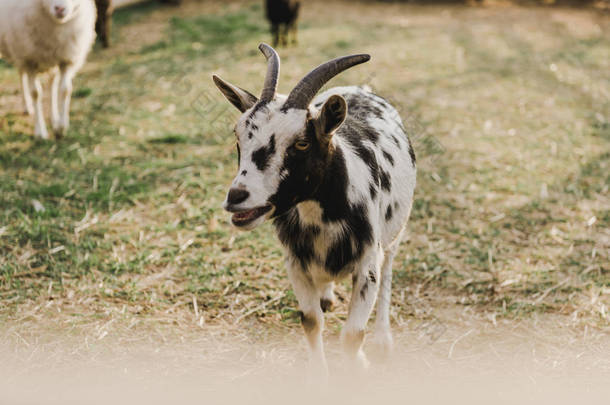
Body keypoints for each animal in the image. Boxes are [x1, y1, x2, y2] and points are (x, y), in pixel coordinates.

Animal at [0, 0, 95, 139]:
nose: (59, 9)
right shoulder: (30, 60)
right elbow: (35, 93)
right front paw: (40, 132)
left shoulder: (66, 59)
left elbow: (65, 90)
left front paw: (61, 127)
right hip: (19, 50)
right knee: (22, 75)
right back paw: (28, 106)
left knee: (49, 84)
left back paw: (51, 117)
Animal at [211, 45, 416, 372]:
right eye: (237, 135)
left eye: (302, 143)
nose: (237, 196)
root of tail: (360, 89)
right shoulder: (295, 263)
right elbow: (311, 322)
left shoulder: (367, 264)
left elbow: (352, 335)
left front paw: (359, 365)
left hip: (396, 230)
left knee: (389, 269)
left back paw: (382, 340)